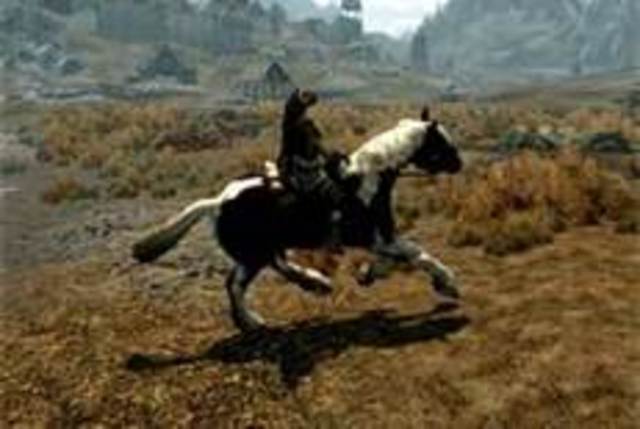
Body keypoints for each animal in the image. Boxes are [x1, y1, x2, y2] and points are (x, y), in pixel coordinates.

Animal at [132, 107, 463, 332]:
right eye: (442, 143)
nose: (459, 164)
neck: (366, 180)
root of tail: (218, 202)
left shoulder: (379, 239)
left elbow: (397, 258)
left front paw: (367, 274)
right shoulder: (377, 237)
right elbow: (417, 253)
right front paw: (447, 284)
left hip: (261, 250)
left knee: (277, 264)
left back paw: (315, 283)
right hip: (253, 255)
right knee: (236, 284)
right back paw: (254, 320)